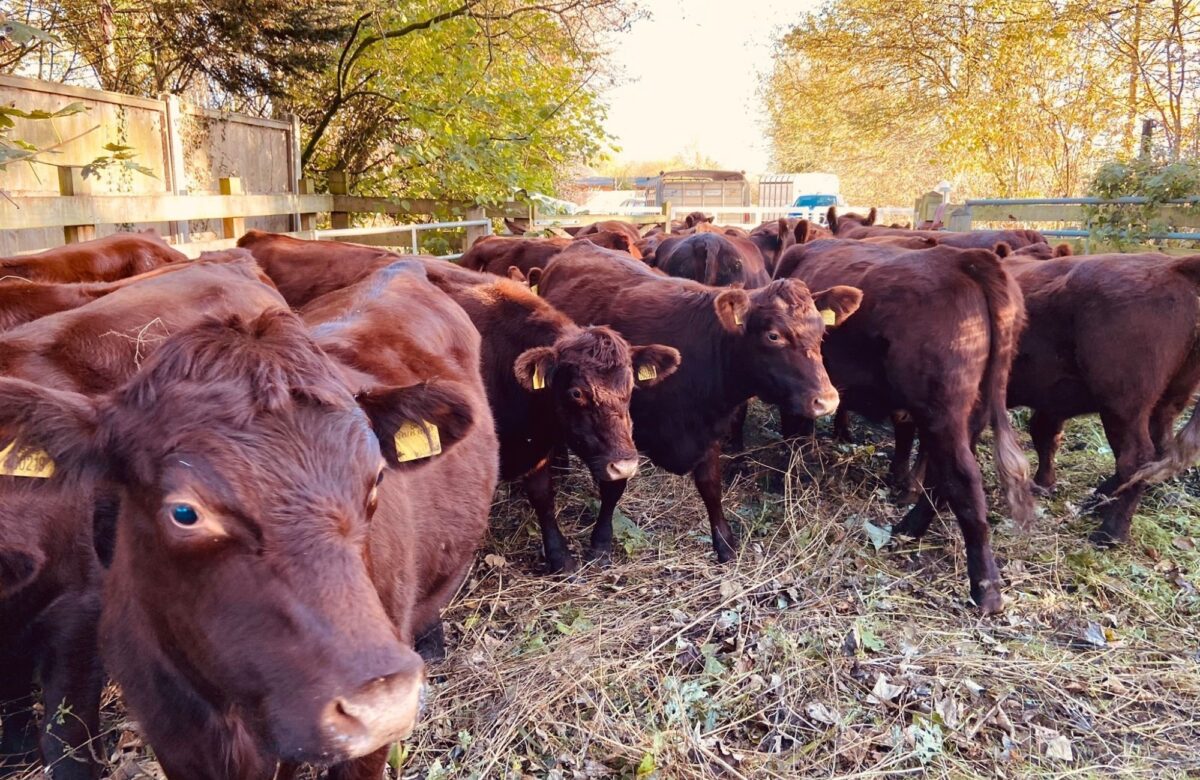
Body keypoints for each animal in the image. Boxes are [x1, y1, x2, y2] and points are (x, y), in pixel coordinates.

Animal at [415, 259, 679, 572]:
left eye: (630, 386)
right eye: (576, 393)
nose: (624, 465)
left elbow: (607, 489)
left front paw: (600, 544)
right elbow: (542, 496)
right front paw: (560, 557)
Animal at [538, 242, 860, 564]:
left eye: (821, 331)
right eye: (773, 335)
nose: (827, 399)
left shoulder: (708, 432)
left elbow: (711, 487)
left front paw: (725, 544)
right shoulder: (616, 432)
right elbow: (614, 486)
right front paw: (601, 544)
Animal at [776, 238, 1034, 614]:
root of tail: (965, 260)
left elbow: (795, 431)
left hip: (942, 410)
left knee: (963, 480)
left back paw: (985, 588)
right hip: (970, 412)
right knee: (945, 477)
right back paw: (911, 526)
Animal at [1003, 252, 1200, 545]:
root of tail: (1172, 266)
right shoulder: (1050, 402)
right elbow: (1045, 435)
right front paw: (1043, 484)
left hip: (1123, 405)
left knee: (1135, 457)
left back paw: (1110, 532)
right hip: (1167, 400)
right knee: (1158, 448)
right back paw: (1099, 500)